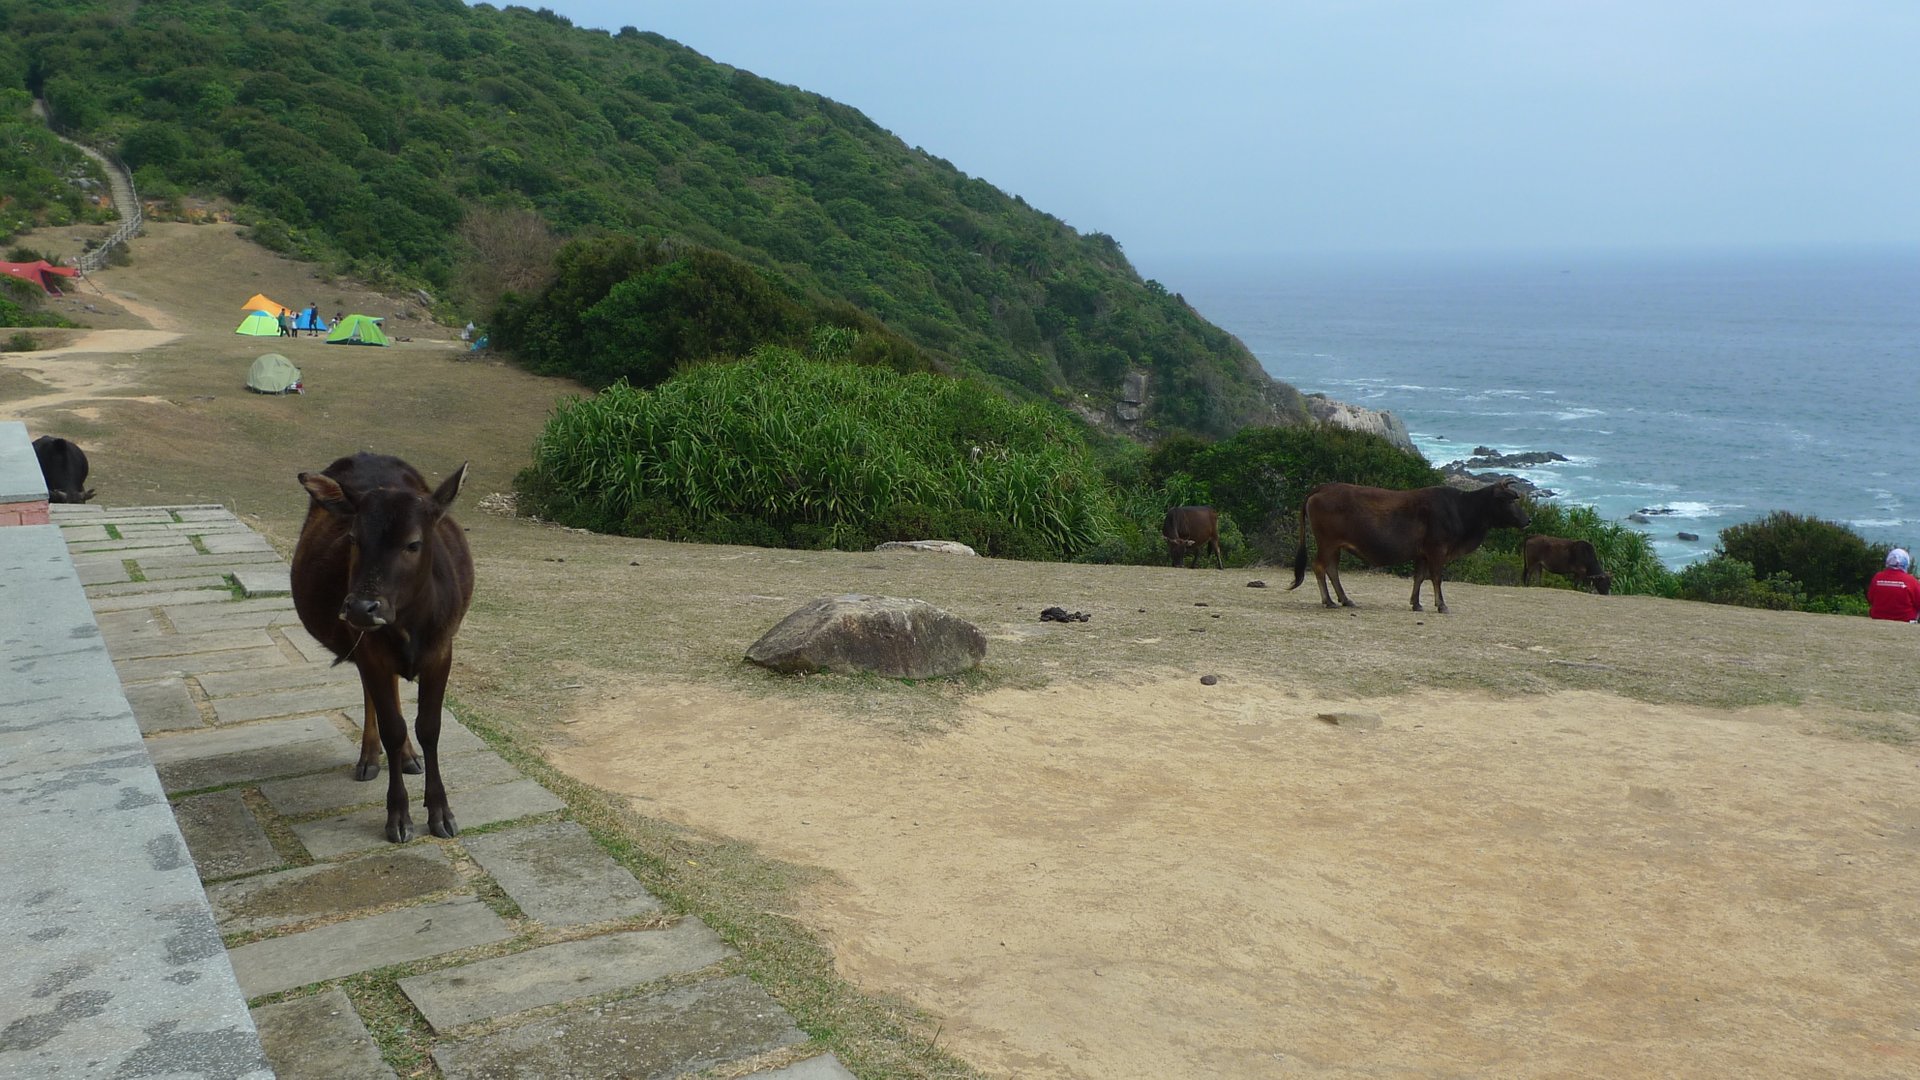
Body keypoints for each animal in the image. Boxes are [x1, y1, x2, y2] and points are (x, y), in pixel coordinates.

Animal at [1290, 474, 1528, 611]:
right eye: (1509, 500)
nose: (1528, 520)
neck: (1460, 507)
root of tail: (1322, 488)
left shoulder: (1422, 553)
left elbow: (1419, 577)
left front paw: (1416, 603)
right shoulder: (1437, 550)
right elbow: (1436, 578)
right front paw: (1441, 605)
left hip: (1335, 545)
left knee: (1332, 569)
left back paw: (1344, 599)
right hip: (1327, 542)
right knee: (1320, 567)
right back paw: (1329, 601)